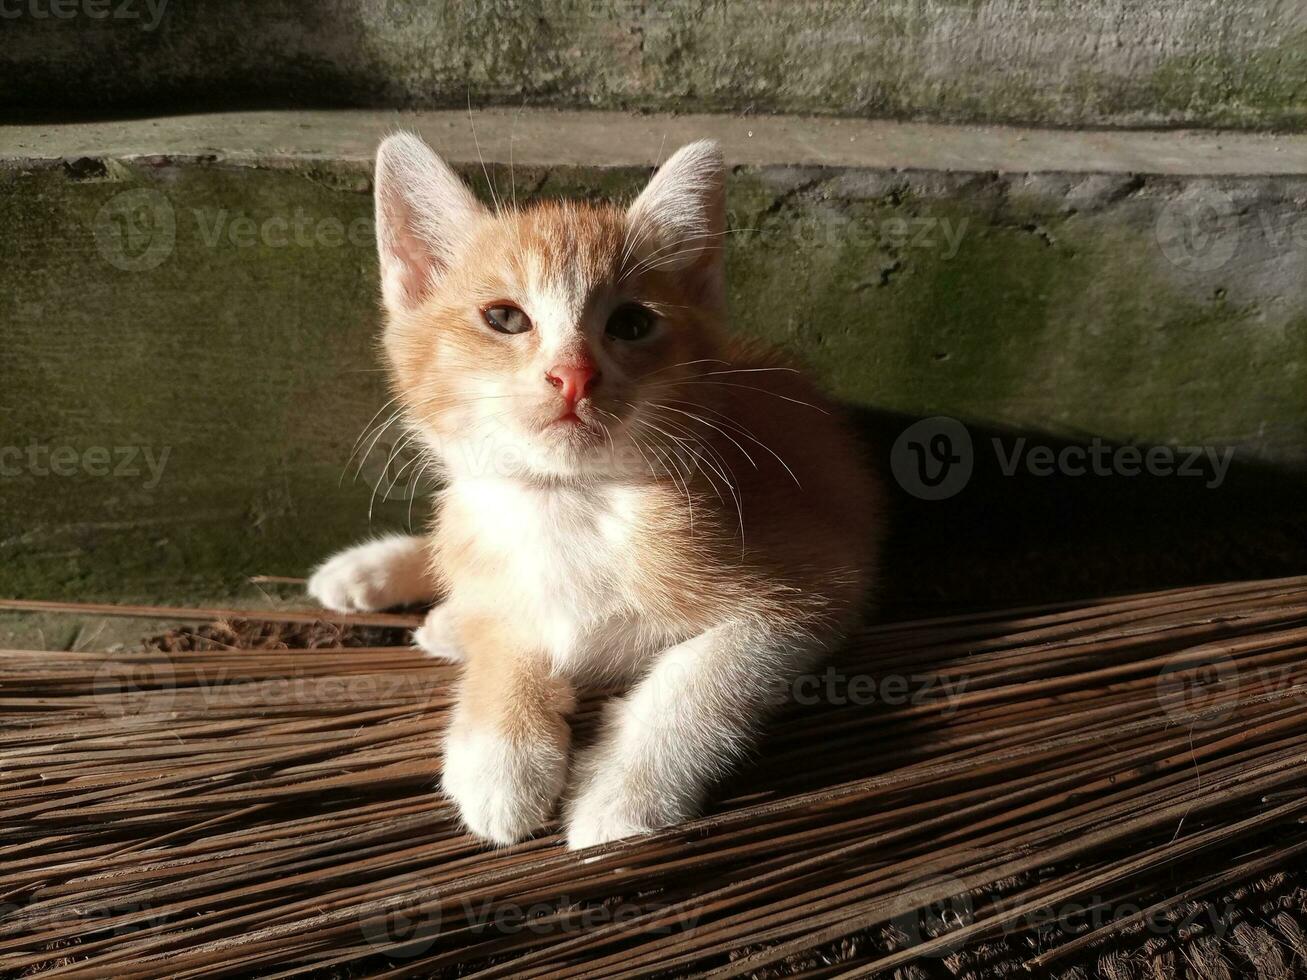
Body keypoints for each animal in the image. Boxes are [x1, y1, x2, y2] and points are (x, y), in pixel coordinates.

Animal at [307, 132, 883, 851]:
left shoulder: (818, 582)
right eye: (504, 317)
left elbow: (703, 677)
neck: (568, 504)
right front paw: (500, 753)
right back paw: (377, 578)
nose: (573, 375)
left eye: (632, 324)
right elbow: (506, 632)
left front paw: (622, 793)